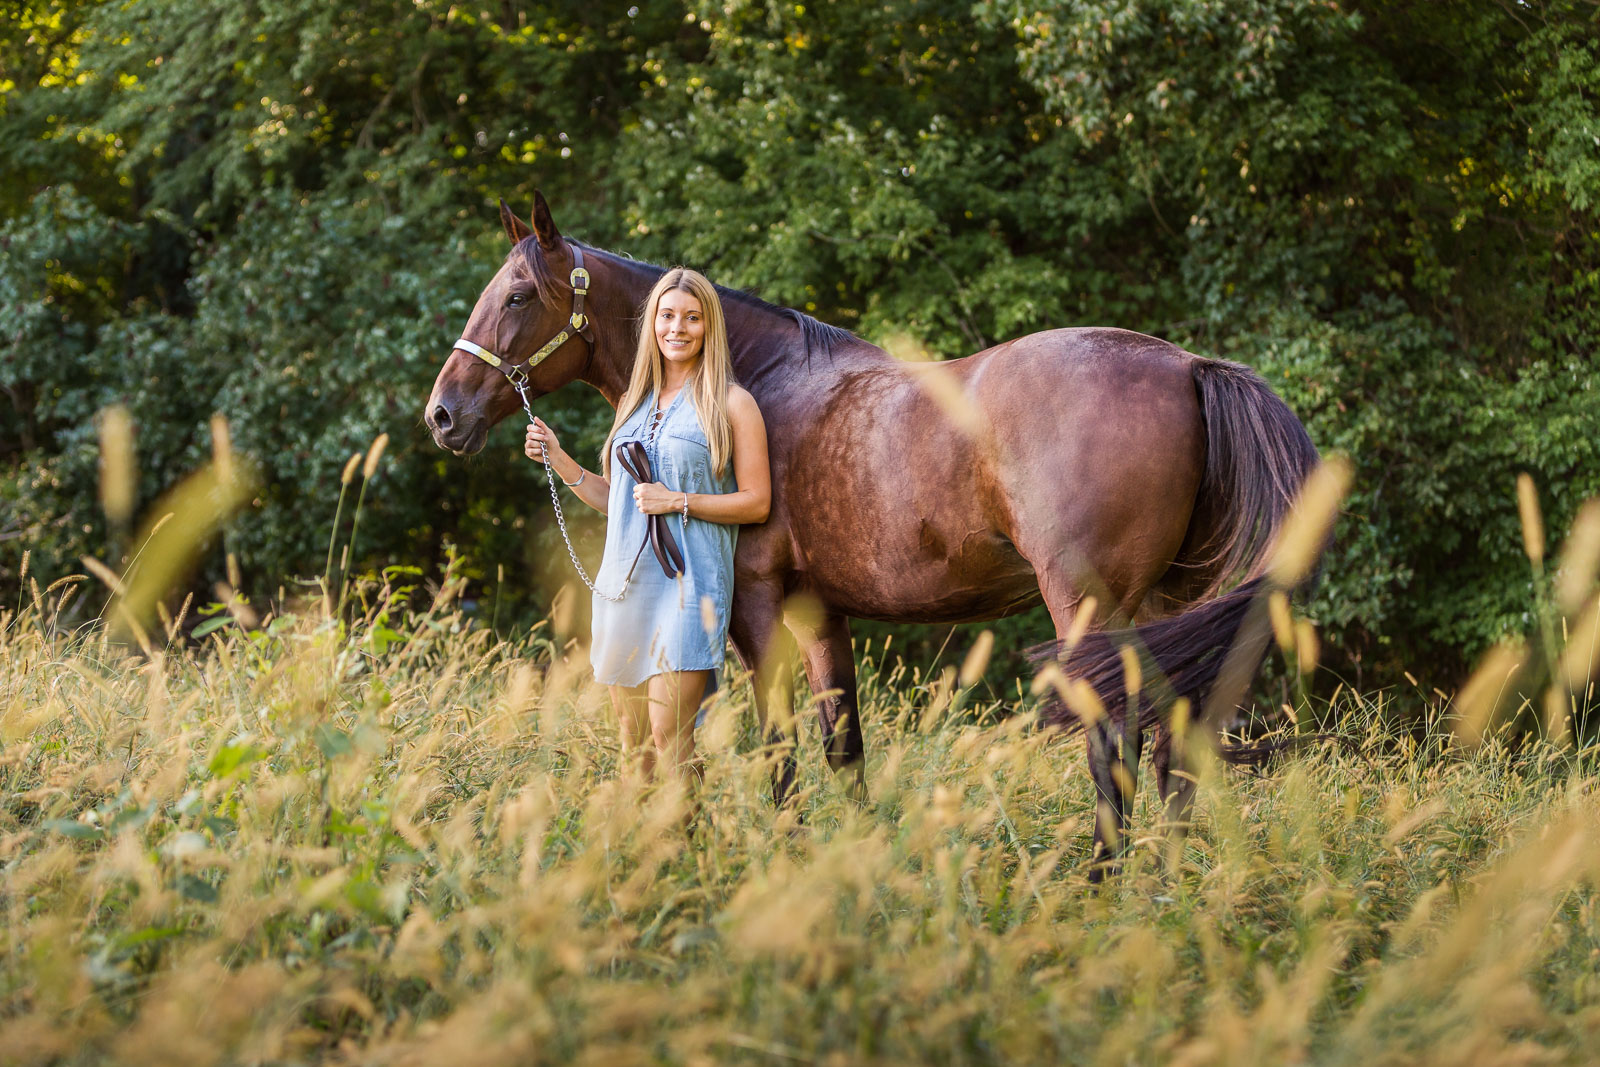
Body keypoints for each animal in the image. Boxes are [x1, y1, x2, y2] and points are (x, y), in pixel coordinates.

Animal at [424, 193, 1319, 873]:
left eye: (516, 296)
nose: (443, 414)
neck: (760, 379)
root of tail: (1188, 367)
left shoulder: (756, 605)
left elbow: (778, 744)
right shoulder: (823, 612)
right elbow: (842, 743)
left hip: (1091, 609)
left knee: (1115, 741)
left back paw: (1103, 879)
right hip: (1169, 607)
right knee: (1178, 738)